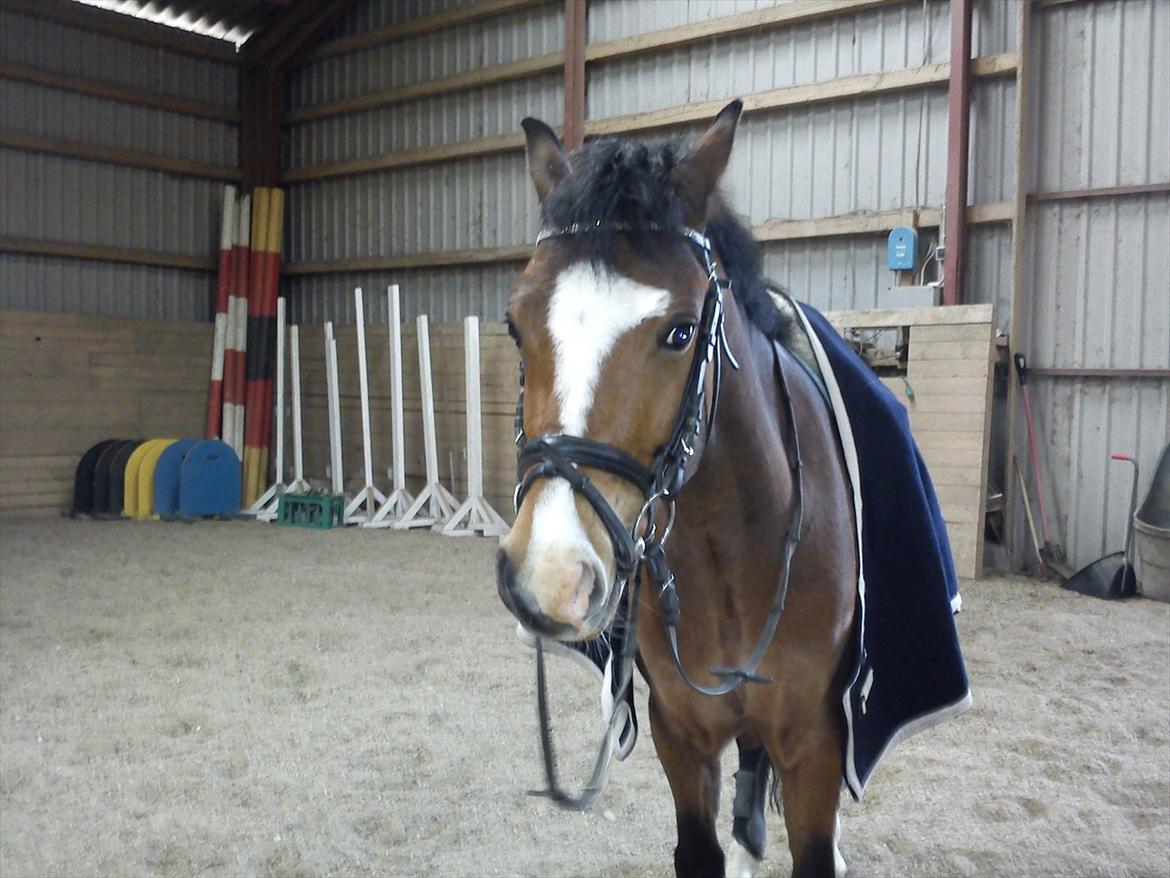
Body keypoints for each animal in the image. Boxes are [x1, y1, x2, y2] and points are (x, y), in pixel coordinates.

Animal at [496, 101, 858, 878]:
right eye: (514, 324)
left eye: (682, 332)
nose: (550, 576)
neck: (736, 555)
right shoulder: (680, 735)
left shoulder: (816, 744)